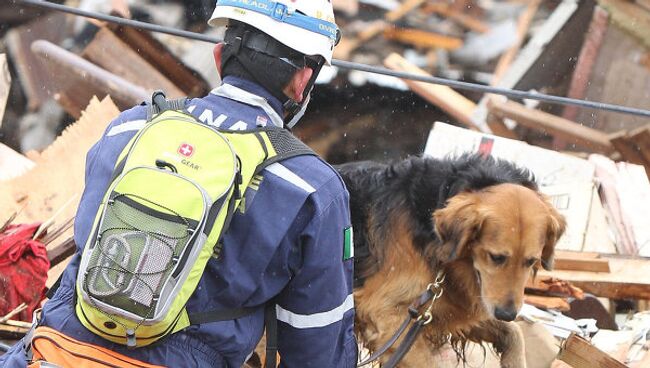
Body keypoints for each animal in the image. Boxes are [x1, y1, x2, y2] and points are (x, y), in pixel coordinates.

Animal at [336, 154, 564, 366]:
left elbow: (514, 332)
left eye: (531, 261)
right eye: (496, 257)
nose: (506, 313)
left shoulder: (449, 310)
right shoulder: (385, 315)